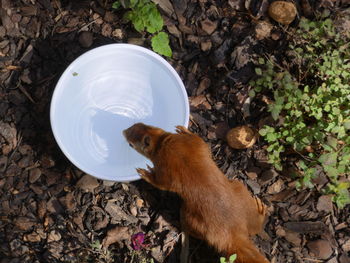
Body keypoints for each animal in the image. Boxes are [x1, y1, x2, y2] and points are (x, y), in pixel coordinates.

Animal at [124, 124, 270, 263]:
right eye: (135, 124)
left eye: (131, 143)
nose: (123, 131)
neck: (164, 143)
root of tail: (232, 233)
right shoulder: (193, 144)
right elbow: (201, 142)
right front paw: (184, 130)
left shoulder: (165, 170)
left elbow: (162, 183)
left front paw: (145, 172)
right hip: (240, 189)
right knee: (255, 227)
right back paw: (261, 209)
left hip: (192, 218)